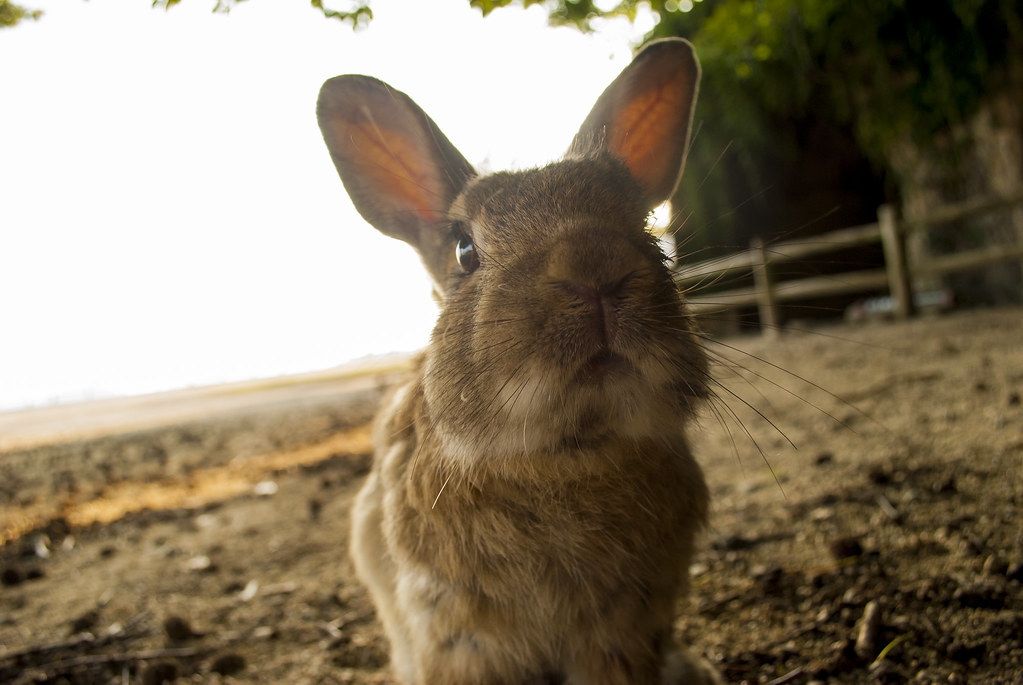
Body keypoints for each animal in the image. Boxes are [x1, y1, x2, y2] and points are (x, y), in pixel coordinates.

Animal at [316, 38, 721, 685]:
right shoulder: (463, 640)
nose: (594, 262)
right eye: (464, 249)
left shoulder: (623, 638)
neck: (566, 455)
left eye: (642, 225)